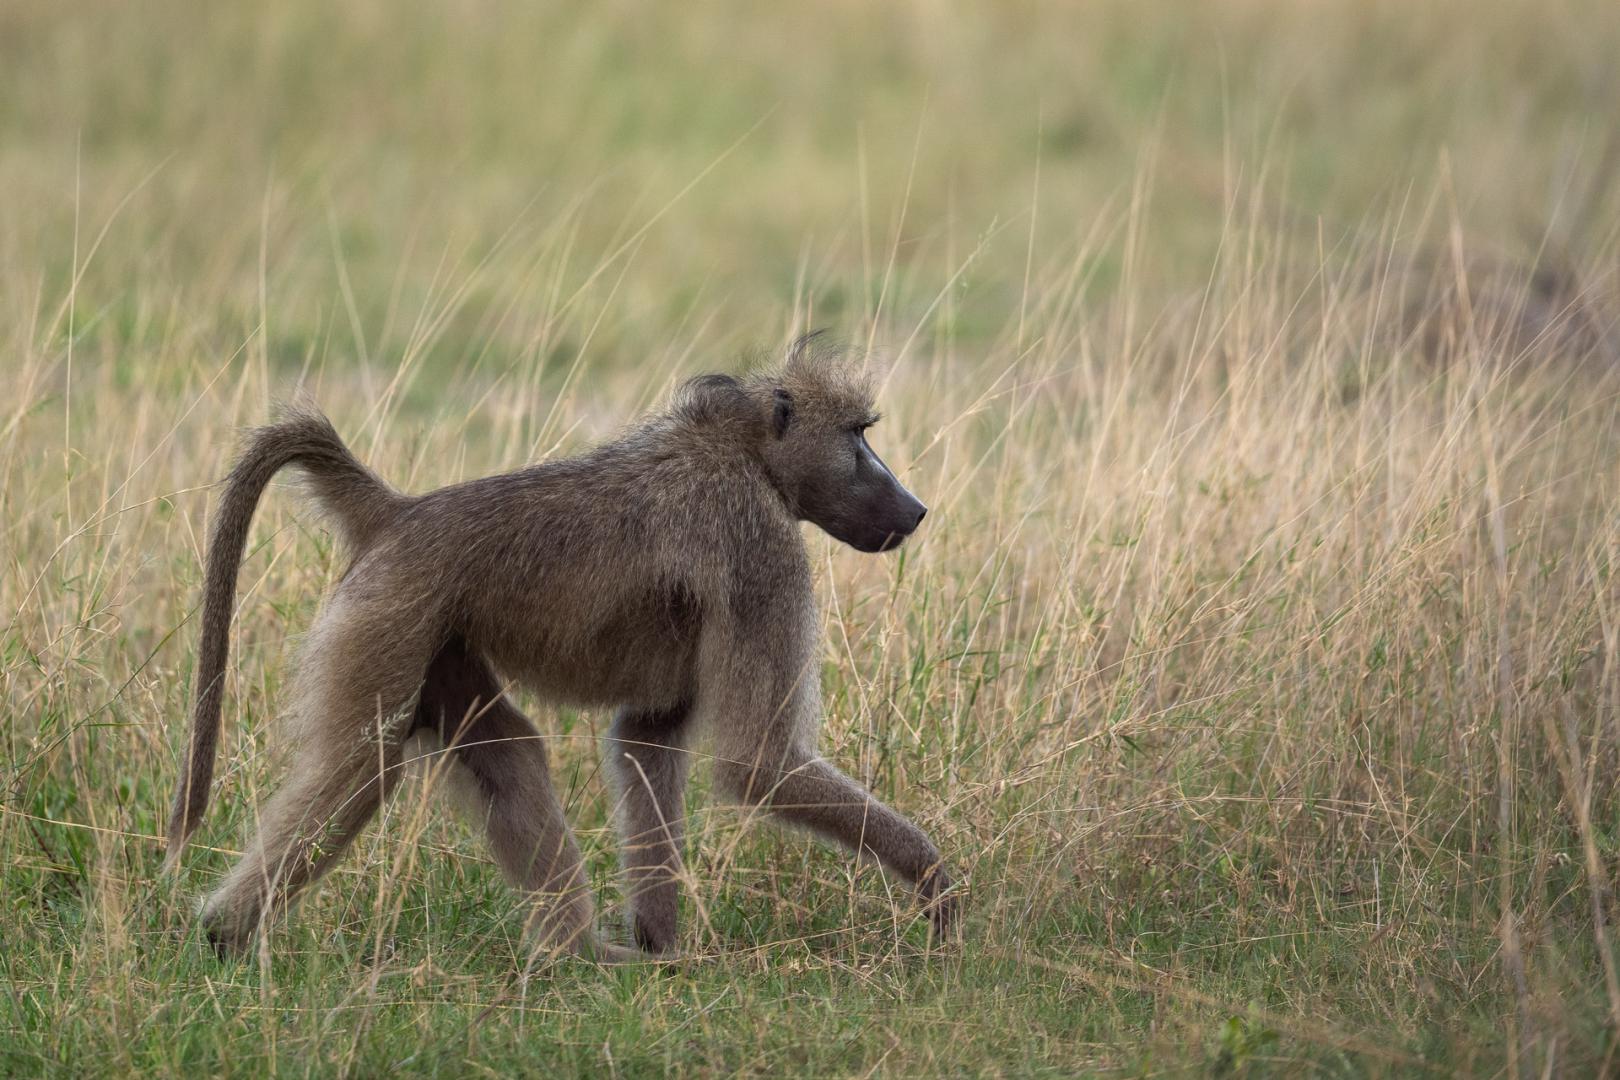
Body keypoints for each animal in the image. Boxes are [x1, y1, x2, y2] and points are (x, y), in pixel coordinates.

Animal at [165, 337, 956, 962]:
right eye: (858, 436)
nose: (916, 510)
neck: (747, 452)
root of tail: (400, 512)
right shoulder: (762, 556)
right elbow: (756, 762)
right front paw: (935, 886)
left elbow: (645, 740)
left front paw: (661, 942)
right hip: (389, 616)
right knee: (364, 762)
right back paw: (224, 936)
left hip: (435, 634)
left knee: (504, 750)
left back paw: (581, 954)